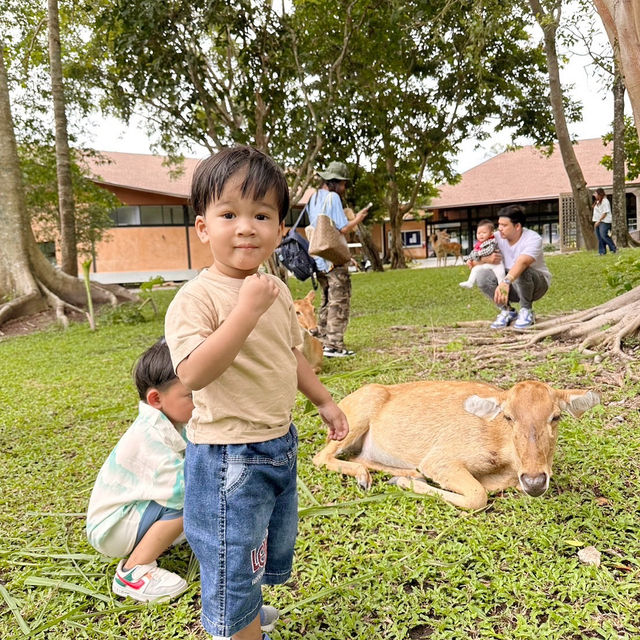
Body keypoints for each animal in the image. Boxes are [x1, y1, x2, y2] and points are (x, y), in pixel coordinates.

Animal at [316, 380, 600, 510]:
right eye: (508, 416)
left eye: (556, 416)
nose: (535, 481)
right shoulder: (441, 457)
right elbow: (477, 496)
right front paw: (408, 484)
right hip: (351, 418)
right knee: (320, 457)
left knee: (359, 458)